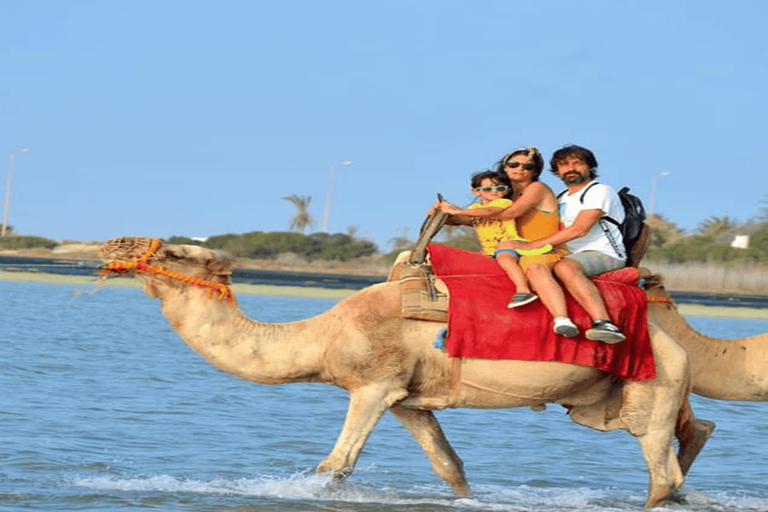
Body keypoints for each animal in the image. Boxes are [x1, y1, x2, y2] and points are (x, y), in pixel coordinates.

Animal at [98, 237, 692, 508]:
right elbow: (450, 467)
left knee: (660, 472)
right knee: (676, 472)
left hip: (655, 383)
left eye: (177, 252)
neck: (324, 335)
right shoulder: (409, 400)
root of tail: (673, 338)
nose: (114, 247)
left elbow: (334, 466)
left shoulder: (373, 385)